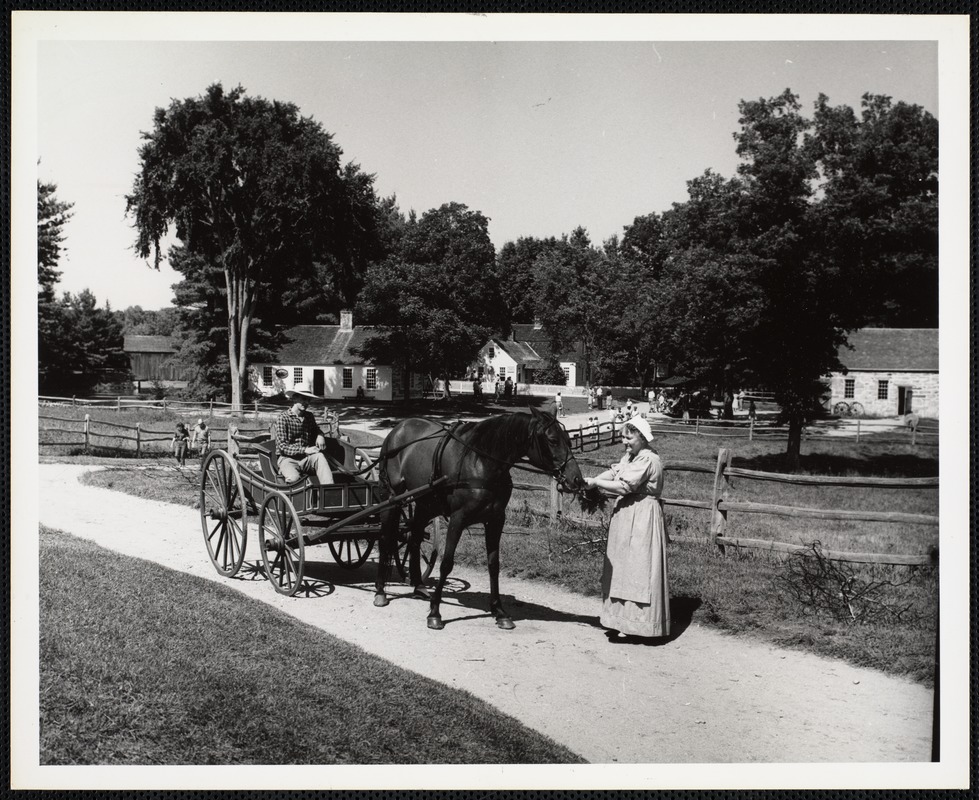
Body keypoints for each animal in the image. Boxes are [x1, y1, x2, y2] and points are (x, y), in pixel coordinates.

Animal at [374, 410, 588, 628]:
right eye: (552, 440)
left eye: (569, 440)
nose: (577, 479)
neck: (481, 462)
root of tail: (398, 429)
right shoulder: (457, 519)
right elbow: (446, 564)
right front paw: (435, 612)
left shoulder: (495, 520)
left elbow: (494, 565)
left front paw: (499, 610)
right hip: (391, 499)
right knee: (385, 539)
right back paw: (381, 591)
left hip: (425, 504)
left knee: (415, 539)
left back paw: (418, 585)